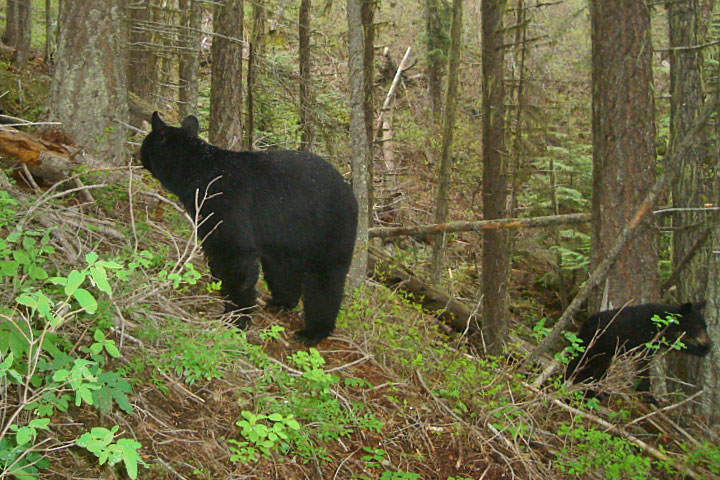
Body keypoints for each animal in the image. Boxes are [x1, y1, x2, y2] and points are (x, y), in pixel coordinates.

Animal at [139, 112, 358, 344]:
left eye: (145, 143)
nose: (137, 154)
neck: (198, 172)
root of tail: (351, 192)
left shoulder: (227, 207)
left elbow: (235, 258)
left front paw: (236, 317)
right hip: (288, 235)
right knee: (284, 267)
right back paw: (281, 302)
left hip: (330, 228)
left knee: (325, 279)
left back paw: (313, 332)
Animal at [564, 302, 712, 400]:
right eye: (698, 326)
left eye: (705, 326)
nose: (707, 341)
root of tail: (585, 324)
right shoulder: (645, 338)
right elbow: (643, 366)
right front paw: (647, 394)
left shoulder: (659, 339)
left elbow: (676, 344)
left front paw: (701, 349)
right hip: (593, 345)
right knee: (579, 361)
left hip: (603, 354)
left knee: (597, 368)